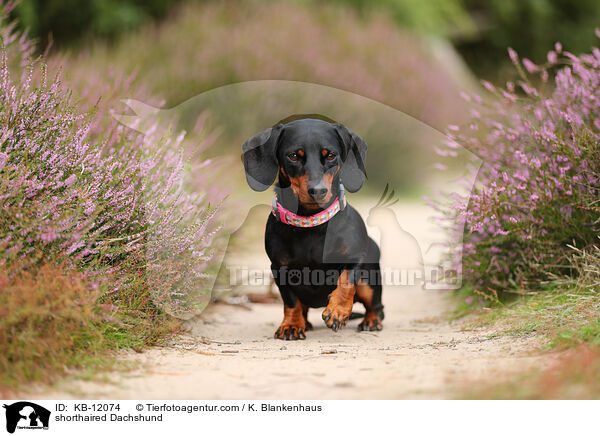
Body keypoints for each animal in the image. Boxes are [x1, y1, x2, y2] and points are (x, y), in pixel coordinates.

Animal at [241, 118, 382, 340]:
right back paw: (304, 323)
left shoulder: (355, 258)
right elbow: (290, 302)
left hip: (369, 281)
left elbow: (346, 280)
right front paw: (291, 325)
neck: (311, 224)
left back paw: (371, 321)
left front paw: (337, 310)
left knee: (376, 305)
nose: (318, 191)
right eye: (293, 156)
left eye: (331, 155)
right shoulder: (279, 268)